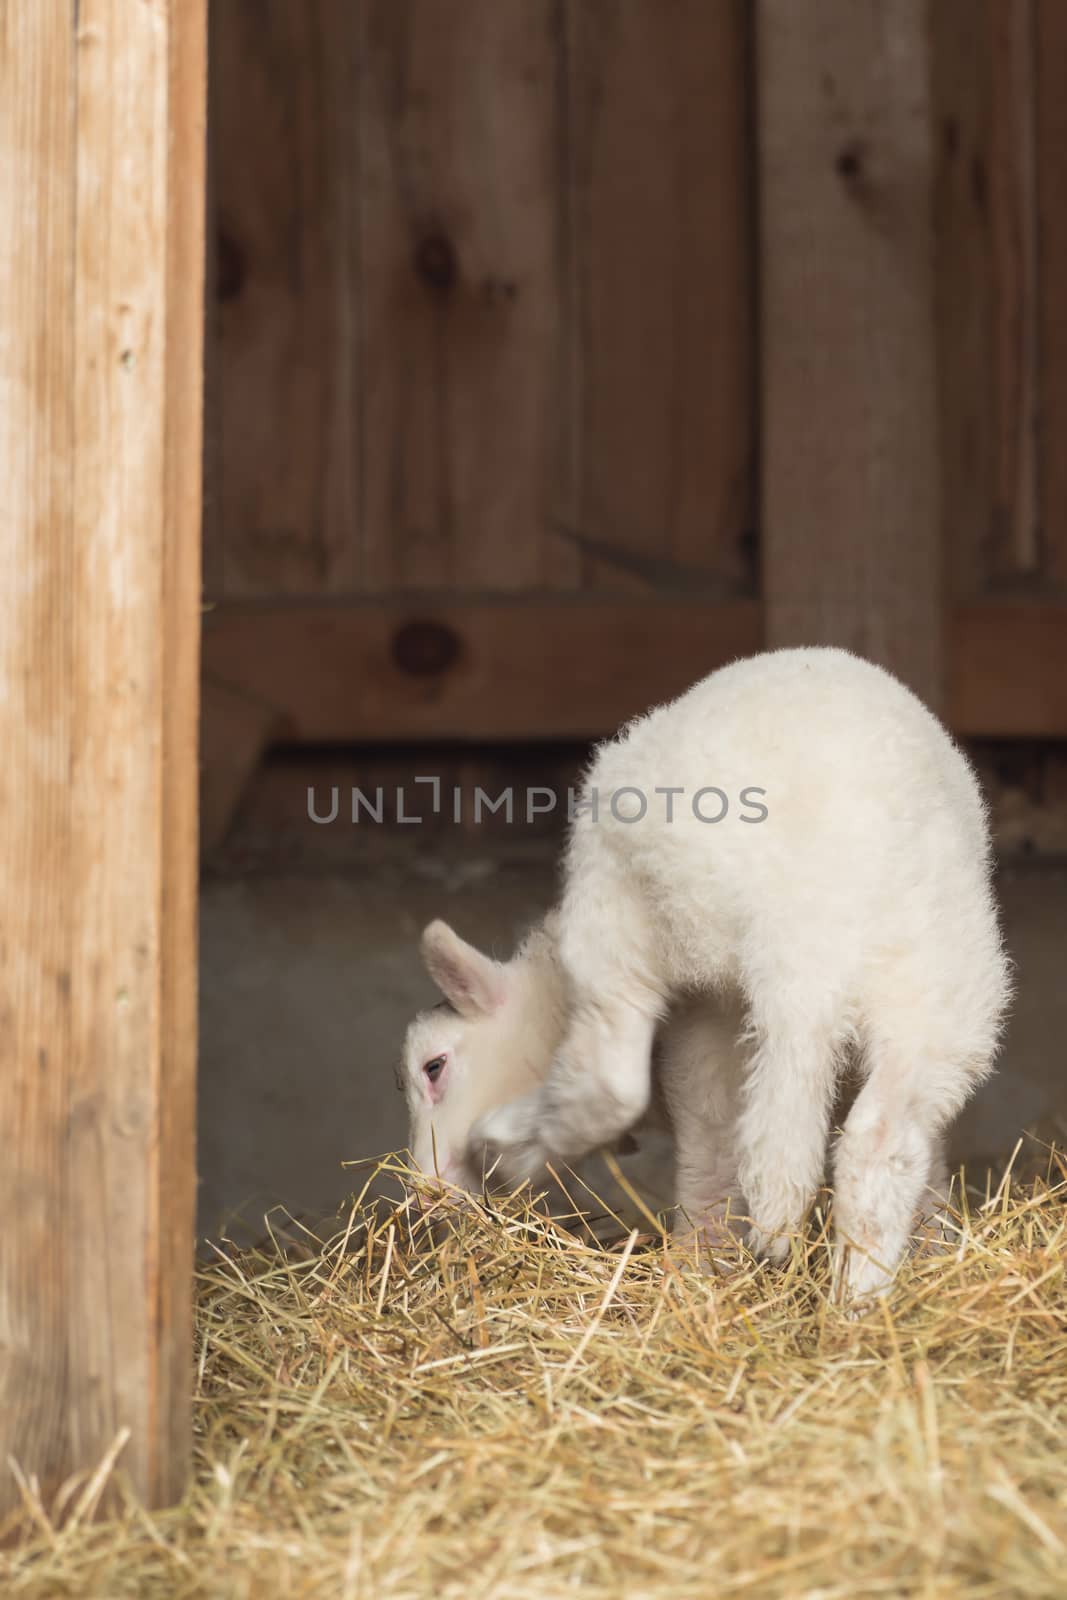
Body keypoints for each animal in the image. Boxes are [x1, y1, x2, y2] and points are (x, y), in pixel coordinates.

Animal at [398, 649, 1011, 1299]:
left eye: (433, 1068)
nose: (424, 1196)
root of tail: (811, 931)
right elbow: (930, 1172)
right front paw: (935, 1249)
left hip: (639, 913)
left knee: (619, 1085)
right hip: (942, 986)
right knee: (881, 1143)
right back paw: (856, 1301)